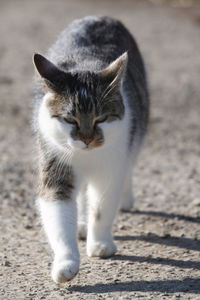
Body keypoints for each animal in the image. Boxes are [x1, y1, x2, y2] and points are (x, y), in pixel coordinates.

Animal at [32, 15, 148, 284]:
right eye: (70, 120)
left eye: (101, 119)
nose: (86, 139)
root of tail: (102, 17)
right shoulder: (56, 163)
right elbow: (59, 215)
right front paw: (66, 262)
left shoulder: (111, 167)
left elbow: (102, 207)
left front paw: (100, 244)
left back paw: (124, 199)